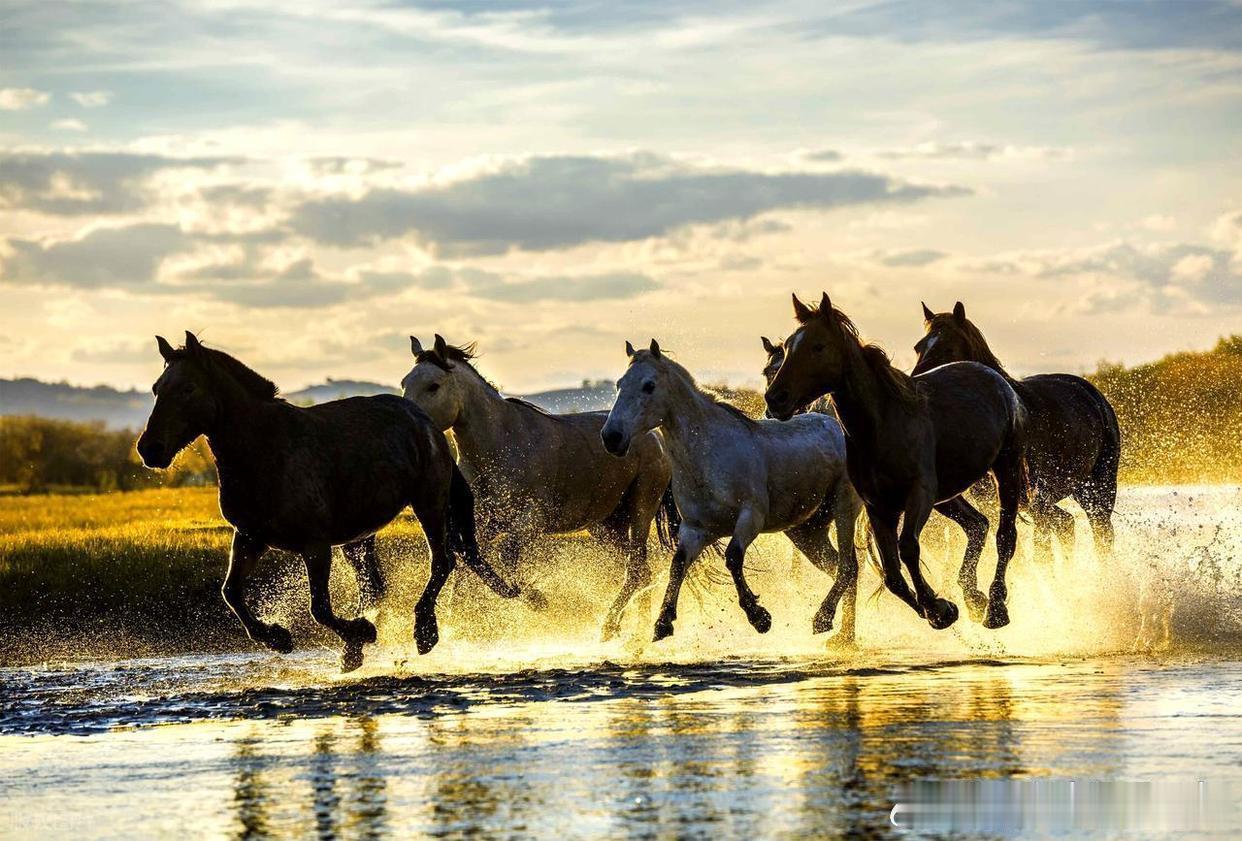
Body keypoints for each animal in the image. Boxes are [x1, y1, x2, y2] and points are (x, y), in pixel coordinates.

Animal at [136, 332, 519, 671]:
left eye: (188, 388)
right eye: (156, 389)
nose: (149, 449)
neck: (265, 450)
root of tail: (426, 423)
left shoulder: (315, 544)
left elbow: (318, 607)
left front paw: (360, 634)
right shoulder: (250, 537)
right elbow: (231, 593)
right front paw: (280, 638)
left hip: (428, 505)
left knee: (442, 560)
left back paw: (424, 633)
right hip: (360, 535)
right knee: (377, 586)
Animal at [401, 335, 678, 641]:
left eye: (433, 385)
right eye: (404, 382)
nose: (408, 423)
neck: (501, 444)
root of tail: (656, 437)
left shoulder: (533, 519)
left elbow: (505, 552)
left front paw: (536, 598)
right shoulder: (481, 524)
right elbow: (469, 565)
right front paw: (457, 622)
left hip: (641, 508)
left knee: (637, 570)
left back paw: (611, 627)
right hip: (606, 526)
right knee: (642, 571)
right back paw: (635, 632)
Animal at [601, 339, 865, 644]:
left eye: (649, 385)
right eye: (619, 384)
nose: (612, 437)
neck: (709, 454)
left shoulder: (750, 518)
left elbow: (733, 558)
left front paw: (759, 617)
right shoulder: (696, 529)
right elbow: (678, 565)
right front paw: (663, 623)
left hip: (843, 508)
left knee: (848, 566)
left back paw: (824, 620)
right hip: (807, 531)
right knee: (842, 568)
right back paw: (845, 636)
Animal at [765, 293, 1029, 630]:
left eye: (818, 346)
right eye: (788, 346)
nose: (776, 399)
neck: (883, 424)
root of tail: (996, 380)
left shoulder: (919, 494)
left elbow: (908, 548)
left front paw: (937, 607)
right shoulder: (879, 508)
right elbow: (892, 575)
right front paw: (941, 609)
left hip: (1006, 469)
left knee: (1005, 535)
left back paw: (995, 608)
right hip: (949, 496)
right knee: (978, 525)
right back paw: (975, 598)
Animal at [913, 301, 1120, 559]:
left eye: (949, 348)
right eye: (918, 347)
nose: (914, 383)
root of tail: (1094, 395)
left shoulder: (1037, 501)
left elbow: (1039, 550)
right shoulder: (994, 502)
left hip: (1098, 490)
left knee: (1101, 533)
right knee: (1067, 524)